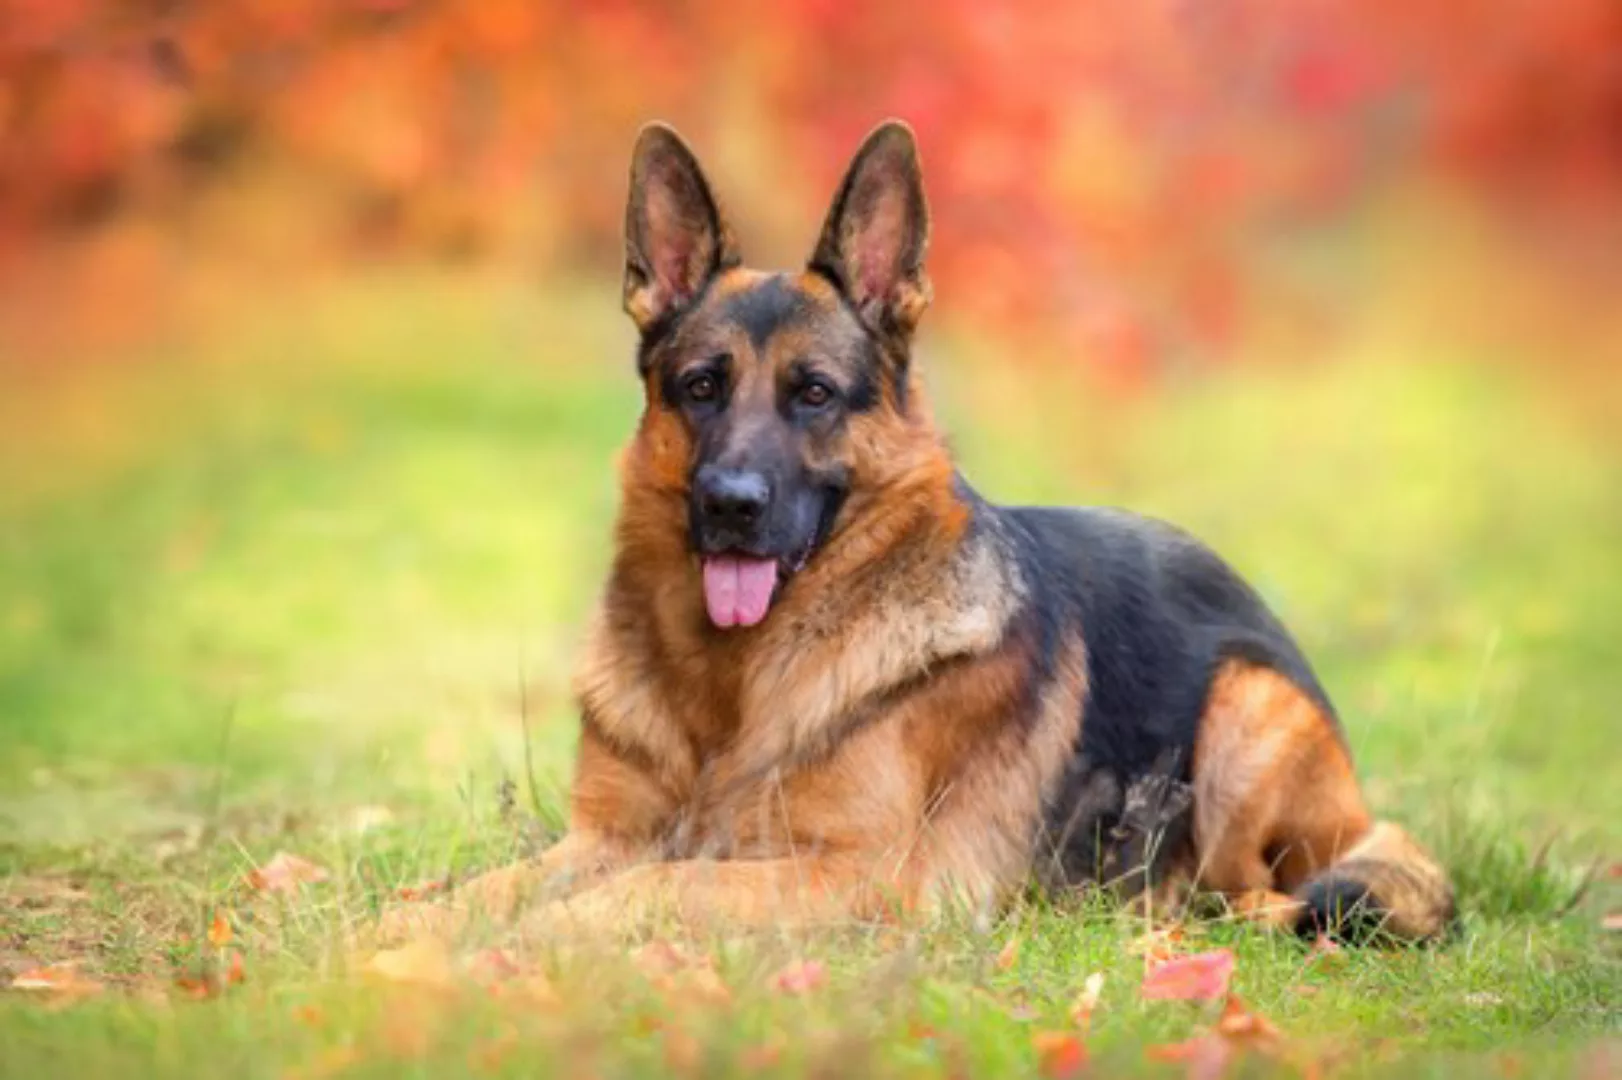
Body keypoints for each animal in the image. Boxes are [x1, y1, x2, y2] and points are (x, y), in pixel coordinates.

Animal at [382, 120, 1459, 940]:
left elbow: (650, 886)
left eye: (814, 394)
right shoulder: (599, 837)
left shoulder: (855, 874)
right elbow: (484, 889)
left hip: (1242, 710)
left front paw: (532, 945)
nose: (729, 504)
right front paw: (406, 935)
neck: (728, 691)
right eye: (700, 387)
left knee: (1254, 894)